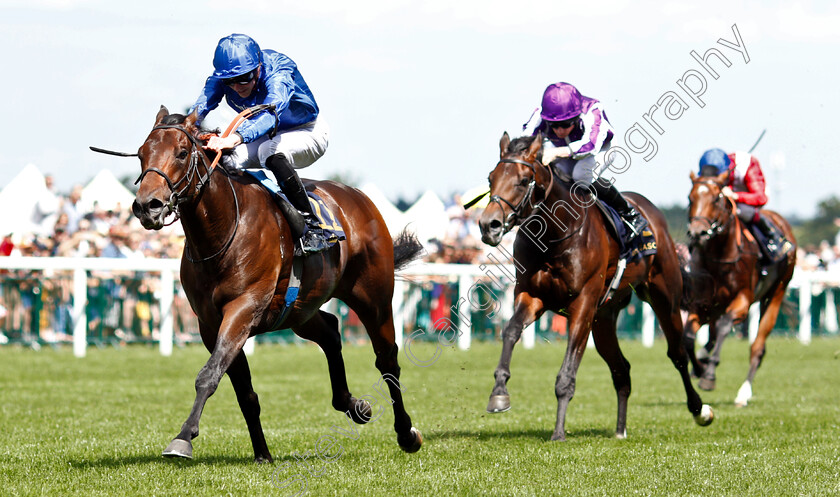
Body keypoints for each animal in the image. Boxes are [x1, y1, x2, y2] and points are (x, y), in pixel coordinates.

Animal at [130, 105, 424, 462]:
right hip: (301, 309)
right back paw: (354, 405)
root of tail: (358, 197)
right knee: (330, 331)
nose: (147, 206)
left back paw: (406, 433)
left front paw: (183, 437)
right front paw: (262, 454)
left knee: (387, 359)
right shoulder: (210, 323)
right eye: (141, 154)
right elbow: (244, 392)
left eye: (182, 153)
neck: (222, 232)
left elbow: (209, 375)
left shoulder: (243, 308)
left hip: (373, 298)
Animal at [476, 132, 712, 438]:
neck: (554, 236)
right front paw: (499, 393)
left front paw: (558, 432)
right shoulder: (532, 295)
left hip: (664, 296)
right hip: (604, 318)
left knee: (678, 353)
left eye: (523, 180)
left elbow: (567, 374)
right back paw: (620, 430)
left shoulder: (583, 304)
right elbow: (511, 331)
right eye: (491, 178)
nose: (488, 225)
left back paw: (699, 409)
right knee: (622, 369)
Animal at [684, 169, 796, 404]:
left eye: (716, 199)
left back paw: (743, 393)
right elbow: (688, 336)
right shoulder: (702, 302)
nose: (697, 233)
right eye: (690, 198)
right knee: (712, 334)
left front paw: (709, 375)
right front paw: (699, 368)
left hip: (776, 292)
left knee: (757, 347)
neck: (719, 257)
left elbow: (726, 326)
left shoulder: (743, 299)